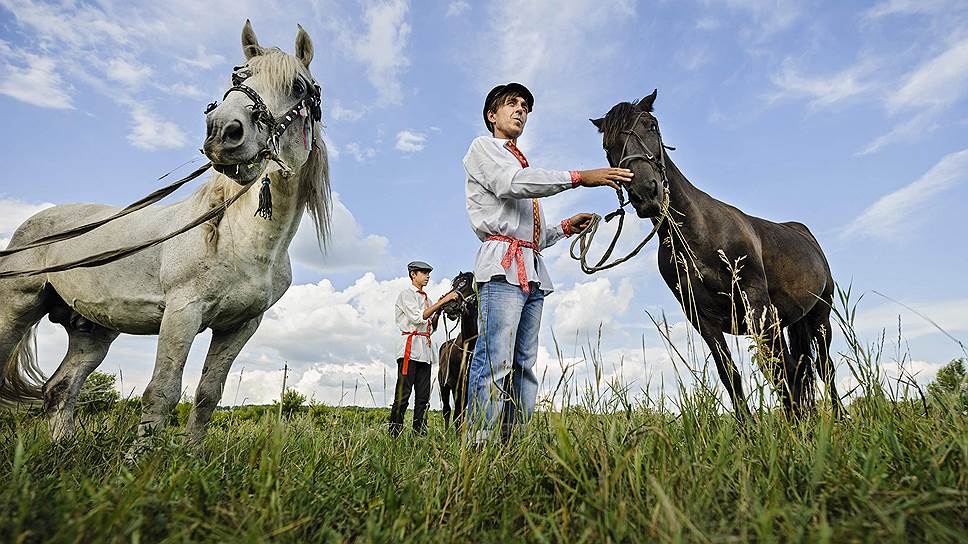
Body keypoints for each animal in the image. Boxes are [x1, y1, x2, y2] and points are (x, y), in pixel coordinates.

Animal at [0, 22, 330, 446]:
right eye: (237, 78)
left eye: (298, 87)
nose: (223, 131)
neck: (240, 240)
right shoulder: (182, 313)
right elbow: (162, 392)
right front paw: (140, 460)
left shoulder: (239, 326)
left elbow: (207, 395)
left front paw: (191, 455)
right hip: (17, 307)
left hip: (92, 332)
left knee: (61, 388)